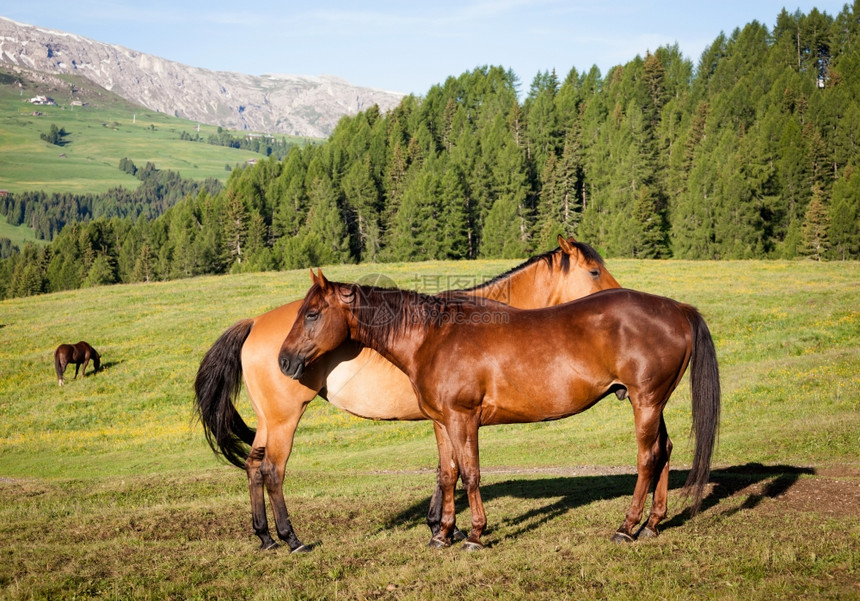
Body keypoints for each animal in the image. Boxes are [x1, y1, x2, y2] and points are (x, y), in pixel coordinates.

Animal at [195, 236, 620, 552]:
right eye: (594, 270)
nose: (621, 296)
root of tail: (254, 323)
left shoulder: (444, 418)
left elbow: (447, 471)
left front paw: (443, 528)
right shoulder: (449, 417)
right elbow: (454, 472)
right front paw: (449, 529)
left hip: (268, 420)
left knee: (253, 467)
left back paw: (265, 537)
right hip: (284, 419)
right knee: (273, 470)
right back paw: (290, 538)